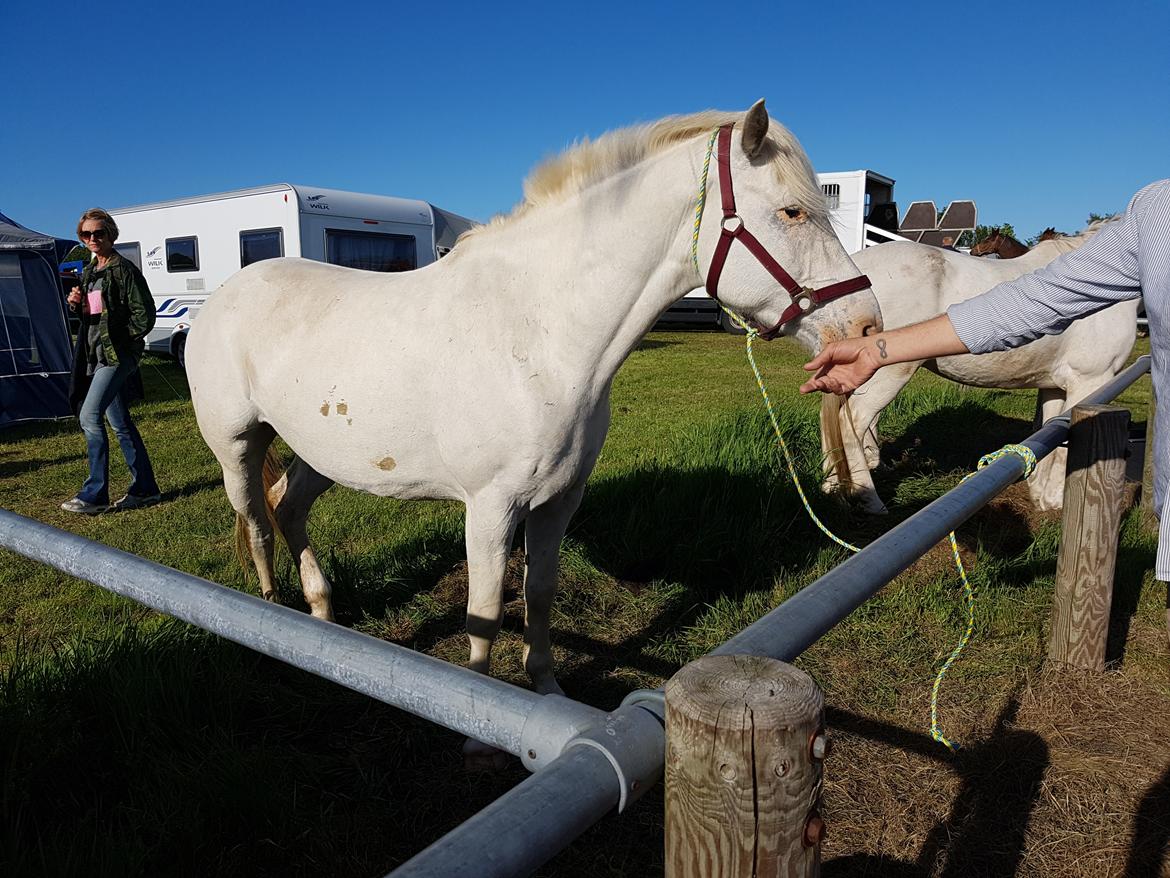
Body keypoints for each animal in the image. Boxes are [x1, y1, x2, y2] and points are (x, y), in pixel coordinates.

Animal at [184, 101, 879, 707]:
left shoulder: (558, 499)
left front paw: (545, 691)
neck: (540, 332)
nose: (867, 326)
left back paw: (321, 616)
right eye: (792, 211)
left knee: (287, 508)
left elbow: (539, 594)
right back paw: (271, 619)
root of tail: (221, 297)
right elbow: (486, 612)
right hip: (238, 446)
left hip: (323, 453)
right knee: (256, 522)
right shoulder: (491, 507)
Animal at [823, 227, 1132, 515]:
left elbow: (1050, 432)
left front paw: (1040, 495)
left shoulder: (1054, 386)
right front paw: (1054, 500)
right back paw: (869, 499)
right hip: (888, 373)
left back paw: (832, 486)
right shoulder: (1089, 381)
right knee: (852, 422)